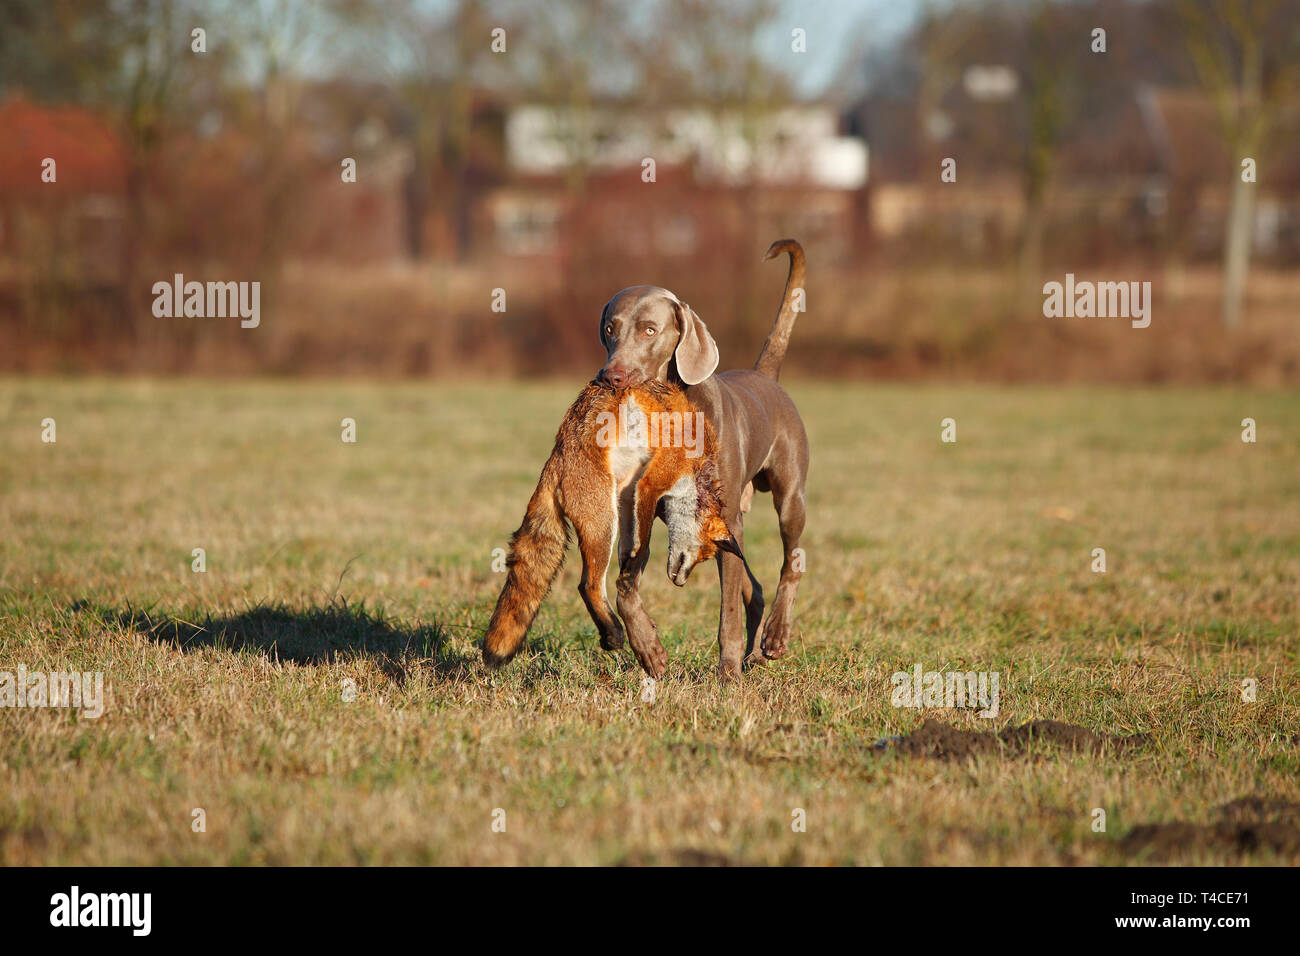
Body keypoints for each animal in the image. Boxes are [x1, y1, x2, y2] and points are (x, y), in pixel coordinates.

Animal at [482, 379, 745, 673]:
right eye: (704, 555)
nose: (681, 582)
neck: (698, 470)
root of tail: (557, 457)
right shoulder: (653, 481)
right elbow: (641, 546)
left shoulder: (629, 494)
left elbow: (633, 548)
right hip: (603, 523)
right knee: (588, 585)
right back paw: (613, 634)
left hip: (609, 512)